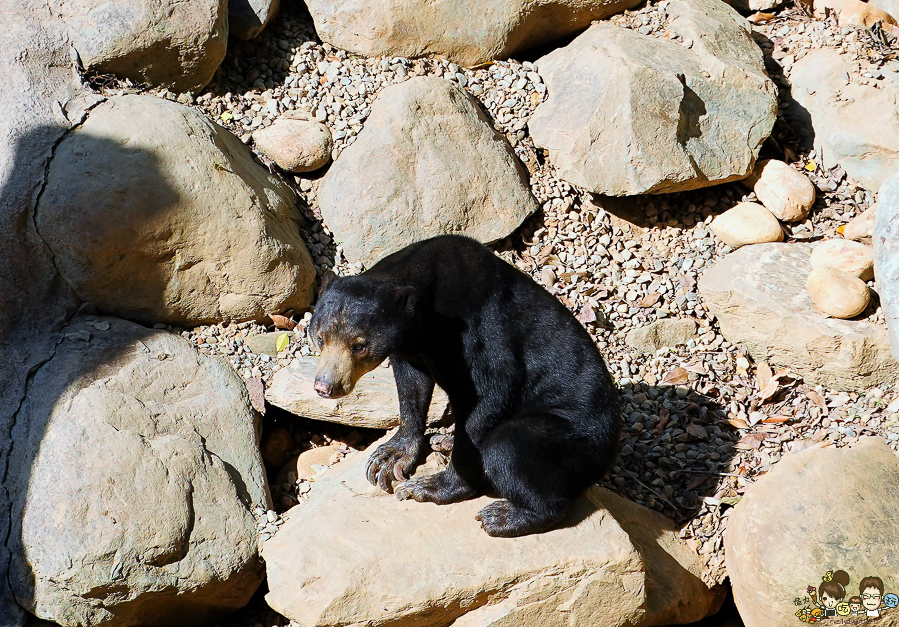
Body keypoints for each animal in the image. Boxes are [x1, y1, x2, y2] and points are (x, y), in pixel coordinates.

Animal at [308, 233, 620, 536]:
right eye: (320, 338)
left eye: (359, 345)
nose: (326, 386)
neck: (423, 320)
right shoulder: (411, 348)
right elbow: (412, 386)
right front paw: (390, 458)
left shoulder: (479, 332)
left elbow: (491, 392)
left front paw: (429, 487)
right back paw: (444, 440)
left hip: (575, 440)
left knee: (508, 446)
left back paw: (502, 516)